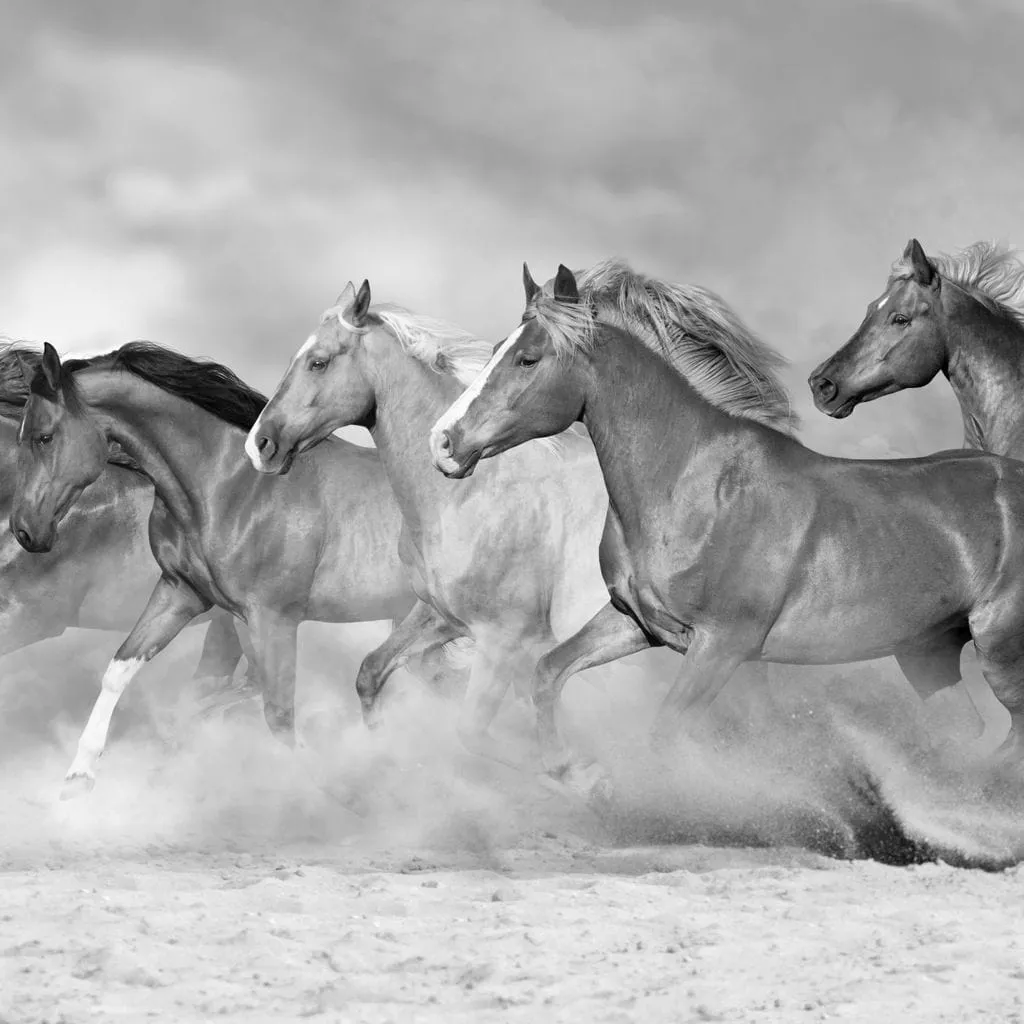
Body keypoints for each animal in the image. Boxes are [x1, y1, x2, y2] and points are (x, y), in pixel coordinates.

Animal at [245, 280, 614, 761]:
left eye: (318, 361)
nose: (259, 444)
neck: (466, 497)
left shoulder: (505, 638)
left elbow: (479, 732)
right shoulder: (441, 616)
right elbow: (371, 672)